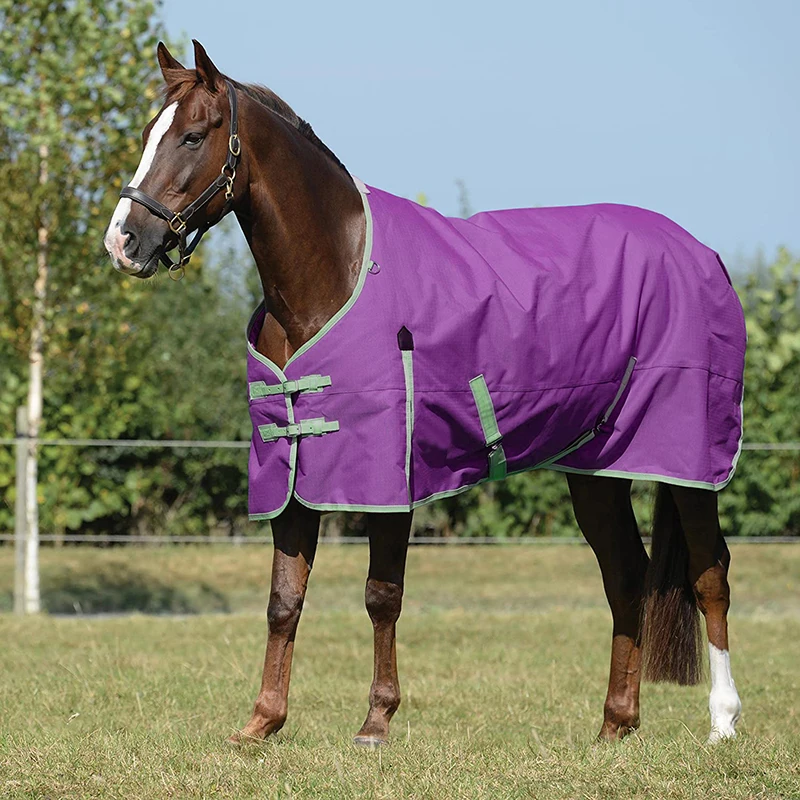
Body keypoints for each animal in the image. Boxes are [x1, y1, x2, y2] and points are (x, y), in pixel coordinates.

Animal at [104, 40, 744, 747]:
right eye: (148, 133)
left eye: (193, 135)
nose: (123, 241)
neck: (336, 271)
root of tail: (704, 254)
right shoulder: (295, 471)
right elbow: (283, 600)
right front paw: (262, 722)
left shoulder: (388, 478)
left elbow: (381, 595)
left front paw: (376, 722)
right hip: (596, 468)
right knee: (626, 576)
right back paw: (615, 726)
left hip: (688, 462)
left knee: (710, 573)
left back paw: (722, 723)